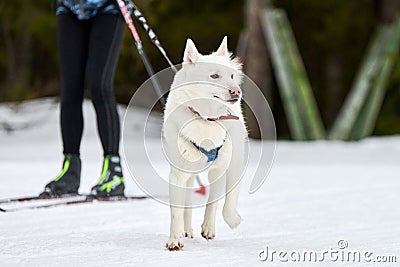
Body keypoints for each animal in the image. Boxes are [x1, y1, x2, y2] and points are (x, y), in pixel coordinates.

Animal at [162, 37, 247, 251]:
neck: (207, 118)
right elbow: (176, 211)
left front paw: (230, 221)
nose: (237, 91)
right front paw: (175, 239)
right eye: (214, 76)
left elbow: (222, 202)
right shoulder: (177, 174)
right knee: (186, 204)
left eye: (231, 75)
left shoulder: (227, 167)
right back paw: (186, 230)